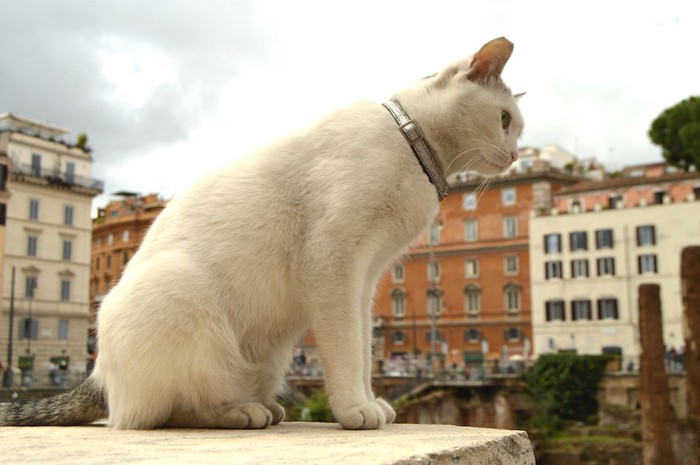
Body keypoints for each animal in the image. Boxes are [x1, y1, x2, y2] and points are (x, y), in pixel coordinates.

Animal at [0, 36, 524, 428]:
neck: (413, 146)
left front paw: (369, 401)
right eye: (505, 120)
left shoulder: (365, 278)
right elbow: (344, 350)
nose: (517, 154)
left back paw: (263, 407)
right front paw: (353, 409)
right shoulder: (334, 265)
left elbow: (362, 347)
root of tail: (99, 375)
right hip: (180, 299)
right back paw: (240, 413)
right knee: (158, 413)